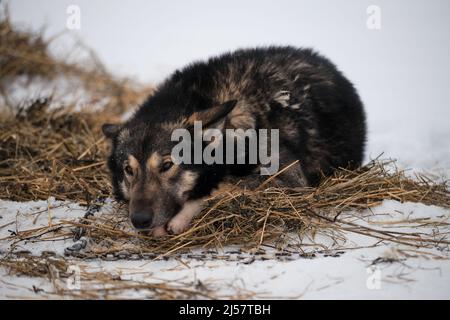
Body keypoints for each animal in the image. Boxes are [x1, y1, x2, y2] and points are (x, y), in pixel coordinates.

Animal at [102, 46, 366, 236]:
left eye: (167, 166)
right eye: (128, 170)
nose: (139, 220)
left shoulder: (290, 178)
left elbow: (220, 186)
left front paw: (181, 216)